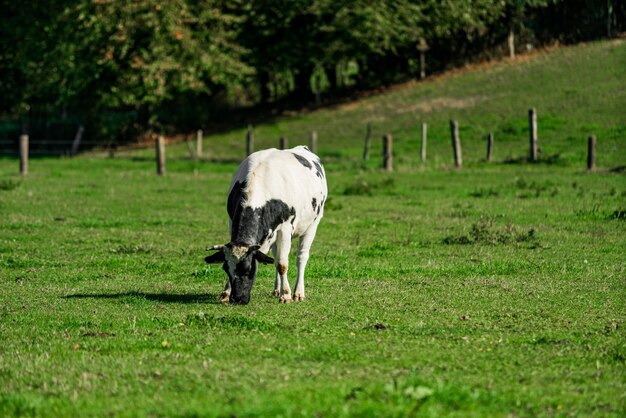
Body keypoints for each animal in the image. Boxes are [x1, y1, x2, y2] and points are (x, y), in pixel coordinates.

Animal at [207, 146, 330, 304]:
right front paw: (226, 292)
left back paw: (298, 292)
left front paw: (286, 295)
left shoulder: (285, 228)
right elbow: (275, 261)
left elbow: (282, 264)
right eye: (225, 269)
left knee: (301, 257)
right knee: (275, 255)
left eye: (248, 269)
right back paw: (276, 290)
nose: (238, 299)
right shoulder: (231, 222)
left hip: (312, 224)